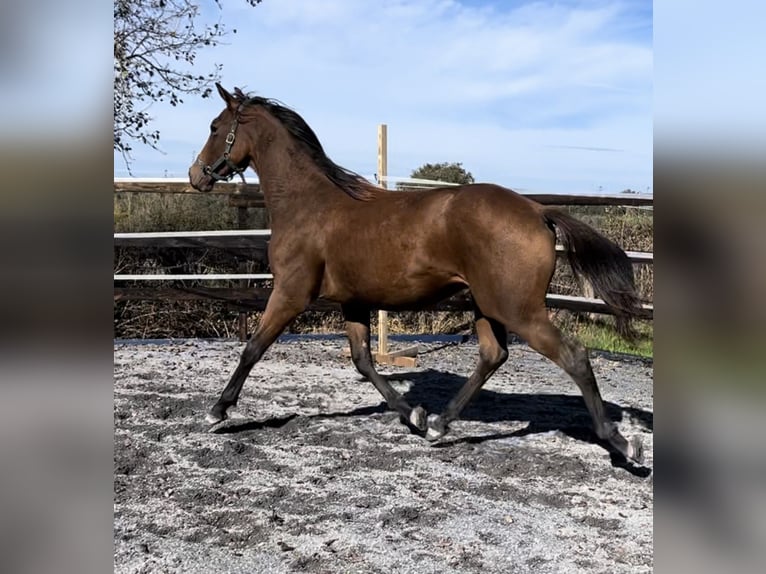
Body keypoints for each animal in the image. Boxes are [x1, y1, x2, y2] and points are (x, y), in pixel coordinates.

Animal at [189, 83, 644, 466]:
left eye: (214, 127)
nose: (196, 175)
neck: (308, 205)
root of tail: (536, 211)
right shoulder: (353, 303)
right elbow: (363, 362)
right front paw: (416, 416)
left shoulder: (290, 293)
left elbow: (253, 348)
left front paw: (217, 411)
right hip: (487, 305)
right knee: (493, 354)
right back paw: (441, 425)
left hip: (518, 310)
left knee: (573, 355)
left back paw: (622, 445)